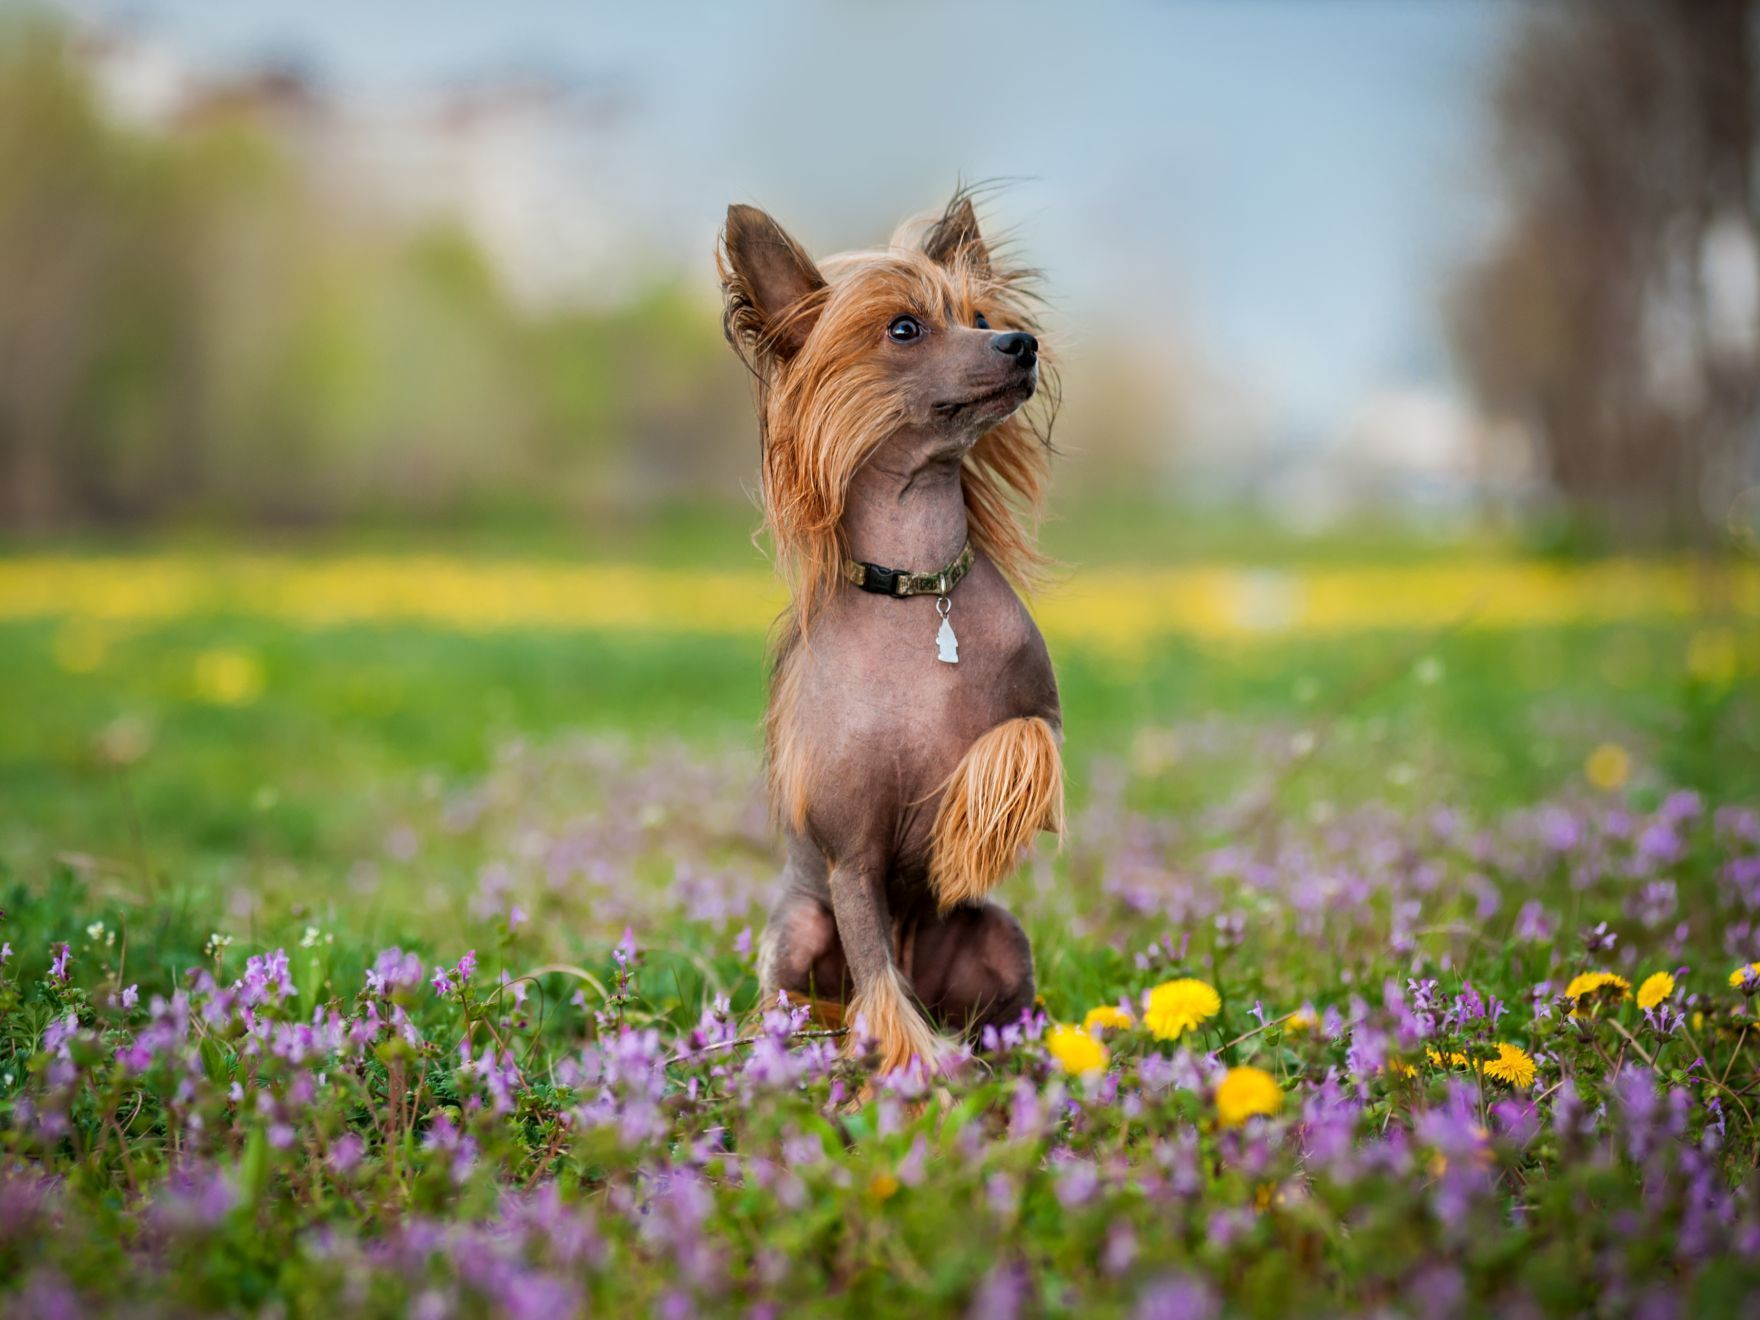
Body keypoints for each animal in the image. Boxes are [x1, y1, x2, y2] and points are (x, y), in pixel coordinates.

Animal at [711, 188, 1056, 1077]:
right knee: (827, 991)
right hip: (800, 933)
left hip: (998, 938)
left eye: (979, 315)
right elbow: (875, 976)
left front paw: (960, 830)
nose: (1020, 344)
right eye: (904, 328)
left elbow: (1016, 744)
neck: (919, 592)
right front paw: (912, 1062)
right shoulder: (851, 862)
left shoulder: (1042, 710)